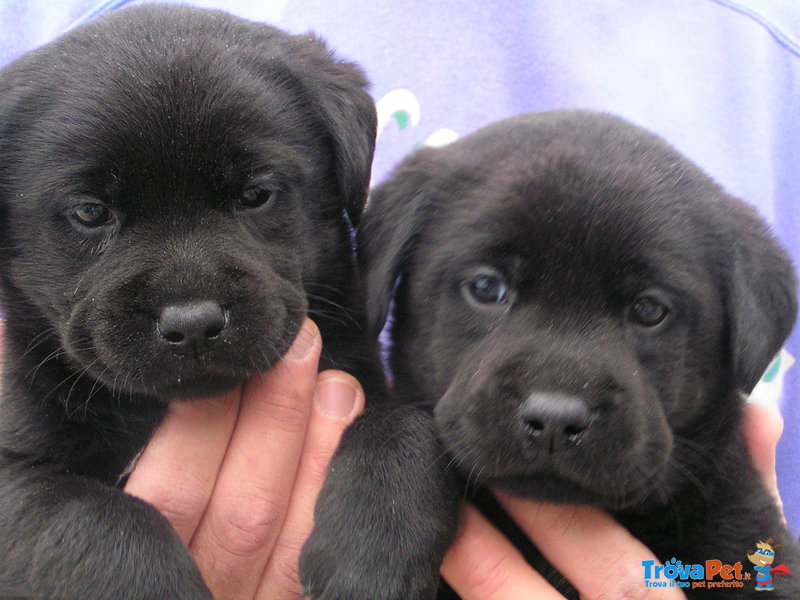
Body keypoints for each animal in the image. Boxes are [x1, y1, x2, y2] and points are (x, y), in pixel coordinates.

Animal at [0, 5, 388, 600]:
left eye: (255, 194)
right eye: (90, 212)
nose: (193, 325)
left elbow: (401, 430)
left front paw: (368, 560)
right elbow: (96, 520)